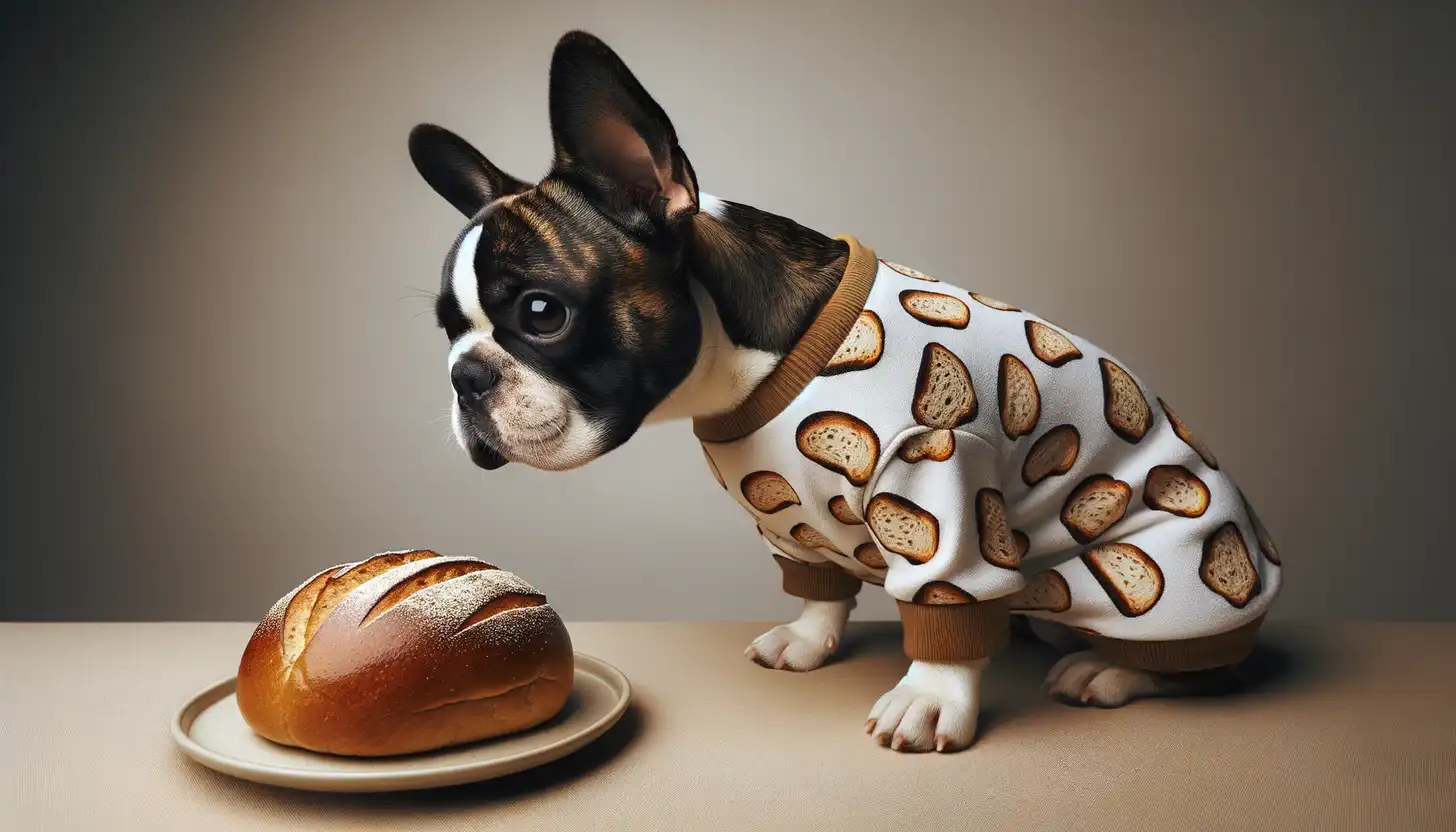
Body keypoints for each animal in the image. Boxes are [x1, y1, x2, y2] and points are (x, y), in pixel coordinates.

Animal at [404, 30, 1281, 757]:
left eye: (541, 313)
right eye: (446, 329)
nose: (465, 376)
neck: (741, 359)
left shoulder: (938, 481)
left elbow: (945, 598)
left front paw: (931, 699)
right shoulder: (786, 514)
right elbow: (818, 584)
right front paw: (808, 639)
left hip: (1162, 576)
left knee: (1207, 668)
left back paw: (1110, 673)